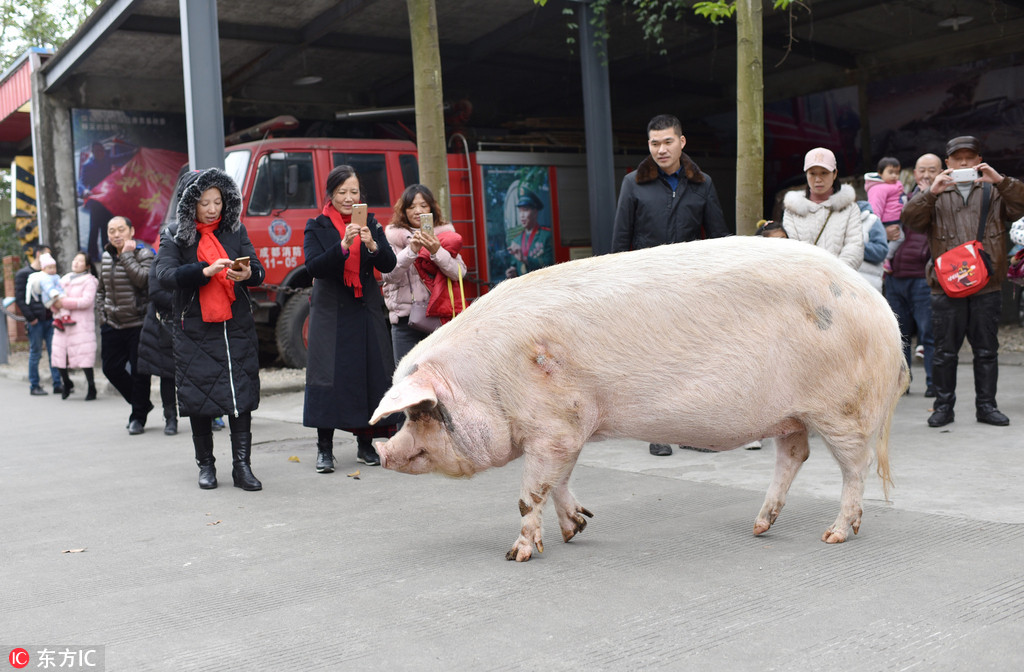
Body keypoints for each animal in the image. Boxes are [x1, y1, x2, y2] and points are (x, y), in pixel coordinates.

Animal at [372, 236, 909, 561]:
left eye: (420, 413)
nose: (382, 451)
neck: (487, 379)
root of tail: (883, 310)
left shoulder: (556, 425)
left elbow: (531, 493)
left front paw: (516, 555)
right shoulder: (571, 427)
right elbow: (559, 482)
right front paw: (577, 528)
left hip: (843, 407)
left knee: (855, 467)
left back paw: (835, 534)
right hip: (791, 413)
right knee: (795, 454)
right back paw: (759, 528)